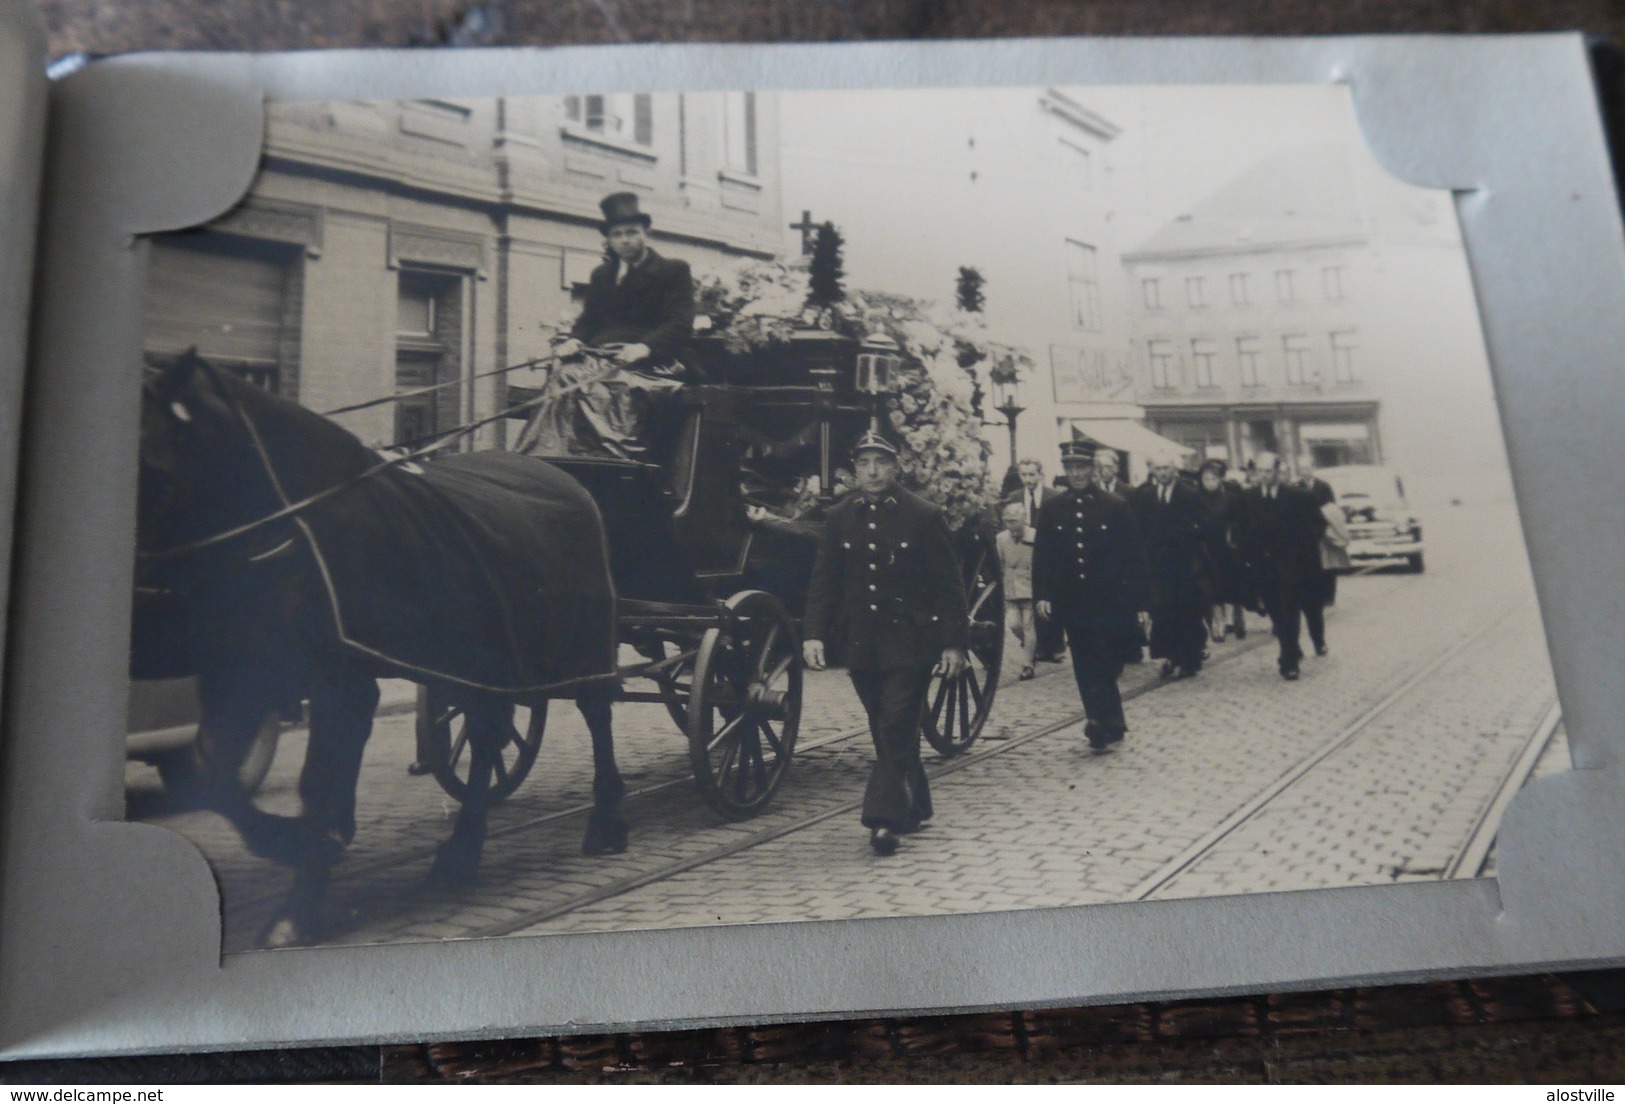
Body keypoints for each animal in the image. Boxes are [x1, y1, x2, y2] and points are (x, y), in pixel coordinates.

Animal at [136, 354, 630, 949]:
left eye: (152, 469)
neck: (296, 527)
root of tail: (565, 478)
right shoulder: (242, 677)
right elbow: (216, 780)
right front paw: (300, 850)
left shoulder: (340, 684)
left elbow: (316, 784)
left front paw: (300, 894)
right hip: (485, 664)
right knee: (487, 734)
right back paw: (460, 854)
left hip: (583, 644)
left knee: (596, 713)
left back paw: (606, 822)